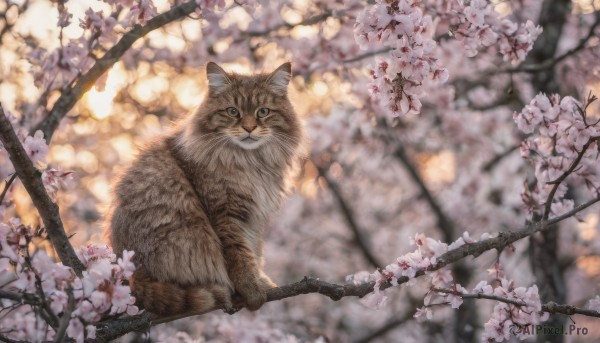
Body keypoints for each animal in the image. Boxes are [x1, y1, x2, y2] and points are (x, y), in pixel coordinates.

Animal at [107, 62, 302, 318]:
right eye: (232, 112)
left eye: (263, 112)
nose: (249, 128)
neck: (249, 161)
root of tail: (130, 272)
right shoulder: (225, 214)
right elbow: (240, 255)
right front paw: (252, 291)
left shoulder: (253, 217)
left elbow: (254, 250)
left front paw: (261, 282)